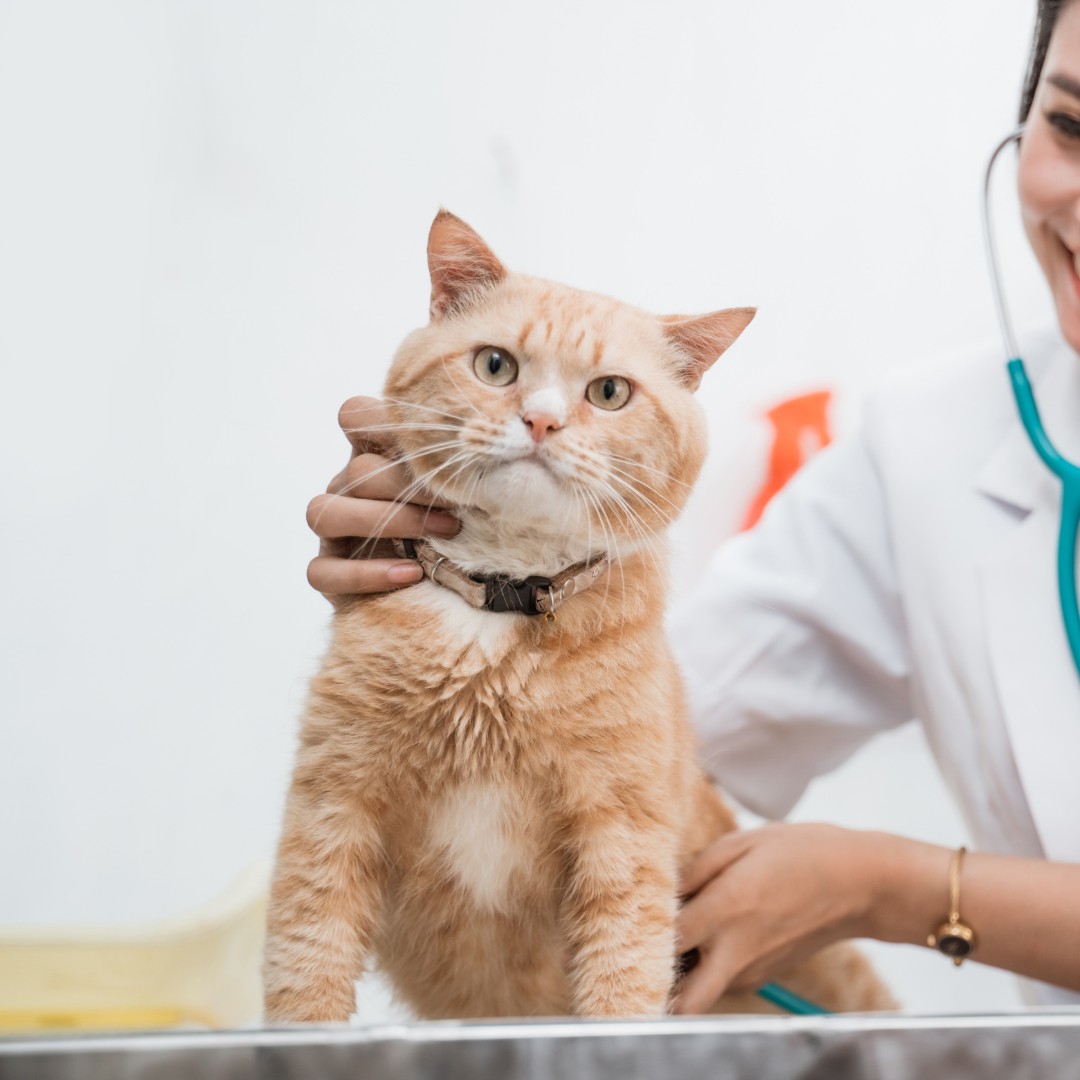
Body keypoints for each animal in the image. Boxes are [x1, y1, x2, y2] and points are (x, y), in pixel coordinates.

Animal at [263, 210, 894, 1019]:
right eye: (495, 366)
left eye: (610, 392)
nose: (541, 421)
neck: (500, 606)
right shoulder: (332, 808)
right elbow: (306, 970)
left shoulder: (621, 838)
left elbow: (622, 981)